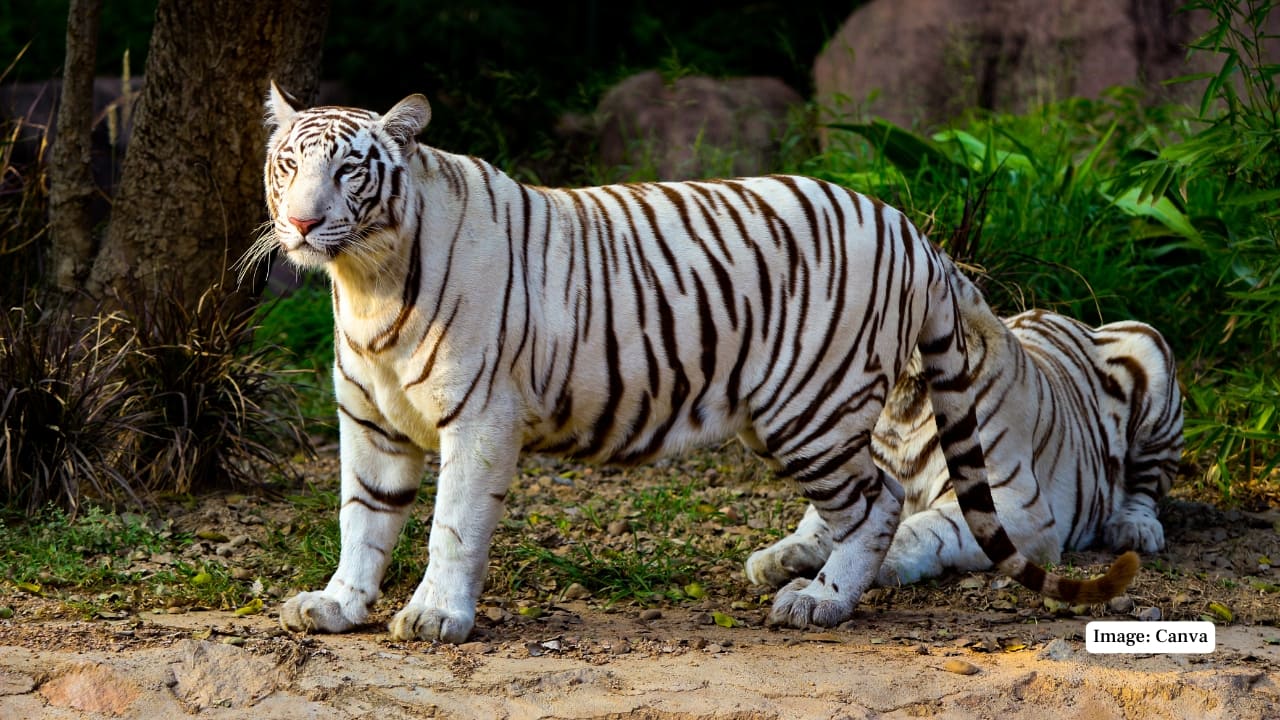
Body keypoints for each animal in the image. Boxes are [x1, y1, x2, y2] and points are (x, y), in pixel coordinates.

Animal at [248, 82, 1137, 644]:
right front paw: (337, 604)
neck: (365, 285)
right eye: (288, 166)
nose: (302, 224)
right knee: (856, 498)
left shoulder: (480, 419)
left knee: (877, 499)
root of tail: (912, 233)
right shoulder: (371, 421)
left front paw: (436, 618)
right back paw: (790, 567)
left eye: (349, 169)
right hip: (792, 413)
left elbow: (451, 528)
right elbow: (363, 519)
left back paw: (820, 600)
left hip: (809, 408)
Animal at [746, 262, 1183, 590]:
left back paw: (1133, 529)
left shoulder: (1012, 501)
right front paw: (778, 556)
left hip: (1151, 351)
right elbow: (820, 523)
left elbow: (924, 529)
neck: (901, 404)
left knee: (1146, 488)